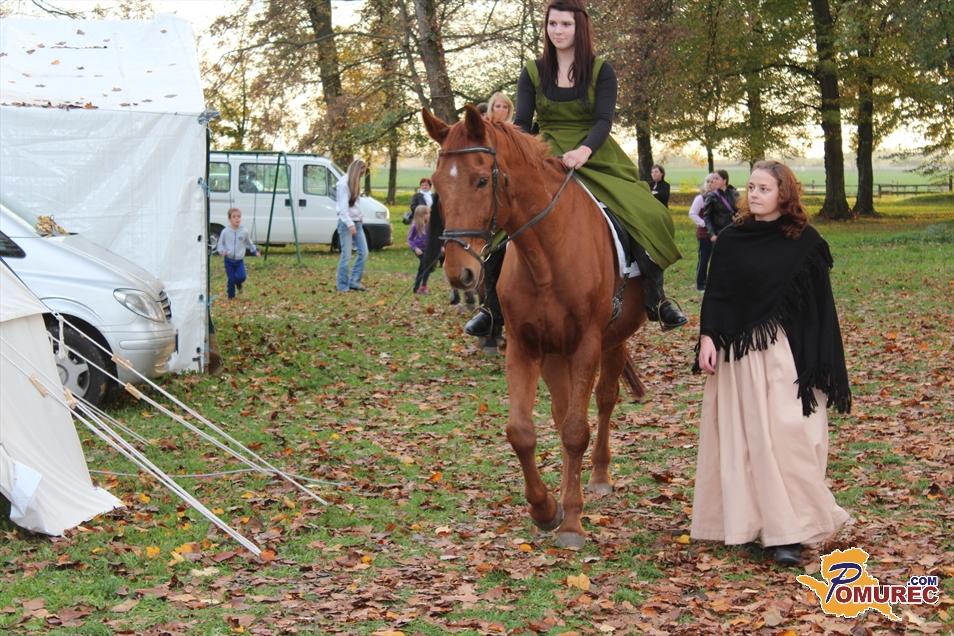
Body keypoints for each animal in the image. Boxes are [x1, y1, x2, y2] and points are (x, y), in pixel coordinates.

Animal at [422, 105, 648, 548]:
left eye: (480, 180)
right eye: (437, 185)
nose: (460, 273)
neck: (547, 255)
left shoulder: (587, 345)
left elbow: (577, 430)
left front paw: (573, 522)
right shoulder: (526, 346)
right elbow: (522, 432)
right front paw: (545, 509)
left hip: (612, 341)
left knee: (604, 400)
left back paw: (598, 476)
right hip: (555, 354)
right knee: (562, 412)